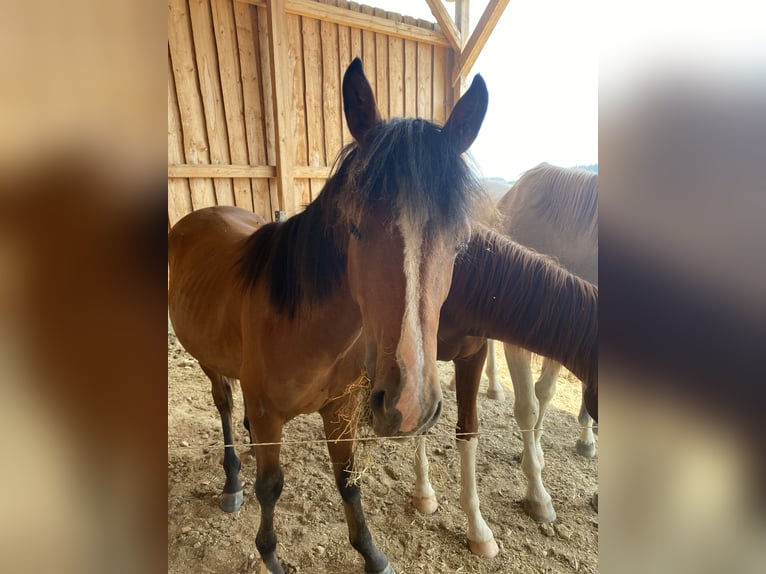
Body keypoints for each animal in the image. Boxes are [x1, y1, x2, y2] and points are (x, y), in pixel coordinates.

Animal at [171, 57, 488, 574]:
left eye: (460, 241)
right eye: (354, 227)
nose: (410, 405)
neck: (307, 329)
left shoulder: (340, 411)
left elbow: (349, 481)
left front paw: (373, 554)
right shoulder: (269, 415)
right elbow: (271, 487)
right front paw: (270, 554)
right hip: (209, 364)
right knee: (225, 407)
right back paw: (232, 480)